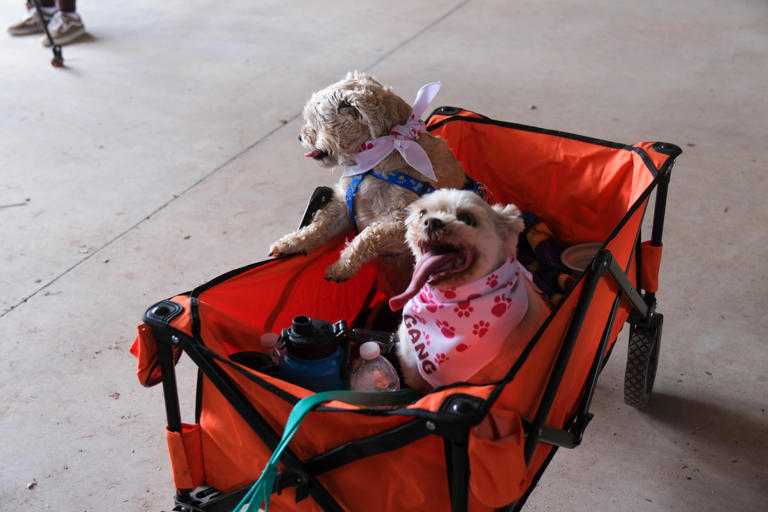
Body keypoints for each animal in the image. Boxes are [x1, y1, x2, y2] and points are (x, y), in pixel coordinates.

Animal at [268, 73, 464, 296]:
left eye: (318, 120)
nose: (300, 136)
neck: (374, 160)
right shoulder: (344, 208)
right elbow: (319, 225)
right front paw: (291, 242)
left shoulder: (404, 223)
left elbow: (368, 235)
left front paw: (342, 266)